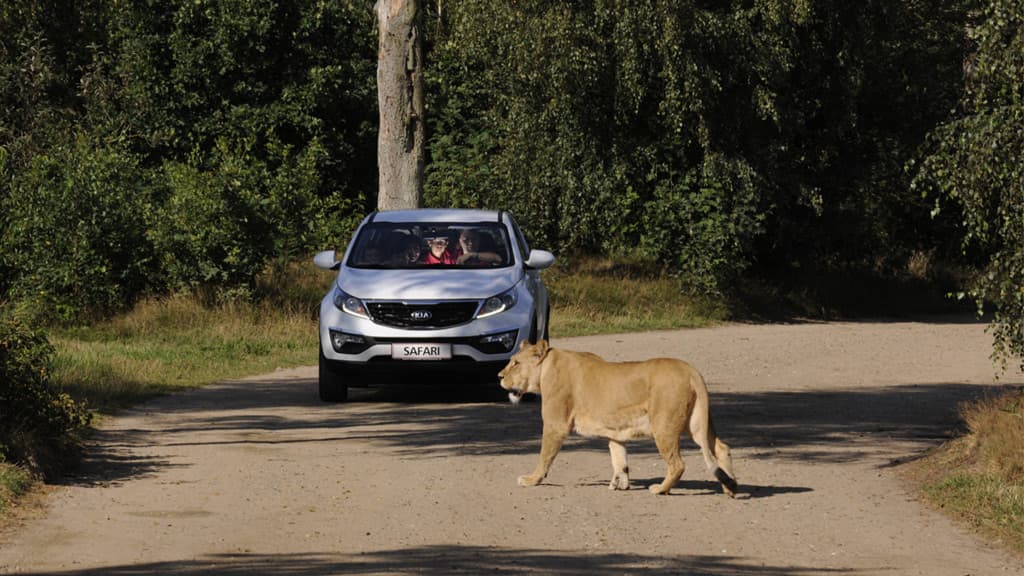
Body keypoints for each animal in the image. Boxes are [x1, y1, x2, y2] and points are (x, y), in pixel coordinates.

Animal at [498, 340, 737, 497]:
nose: (499, 376)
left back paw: (660, 489)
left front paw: (532, 480)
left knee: (678, 464)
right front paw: (620, 483)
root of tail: (690, 370)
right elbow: (619, 457)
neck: (546, 369)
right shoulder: (615, 430)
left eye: (515, 363)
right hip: (696, 423)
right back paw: (730, 487)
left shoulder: (556, 425)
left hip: (664, 425)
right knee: (721, 448)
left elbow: (544, 456)